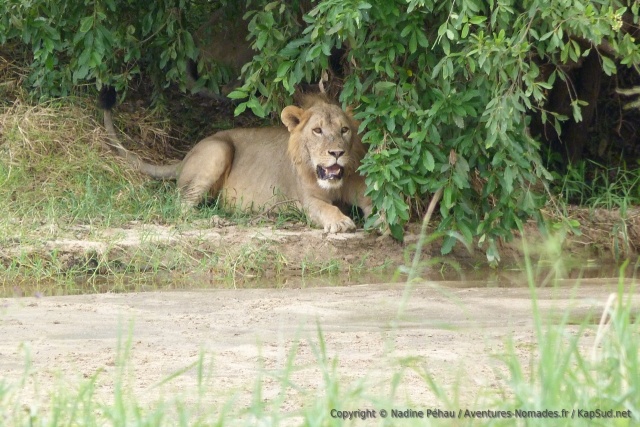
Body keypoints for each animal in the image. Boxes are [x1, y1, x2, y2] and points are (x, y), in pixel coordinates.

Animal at [98, 89, 373, 233]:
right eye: (317, 131)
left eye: (344, 130)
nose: (336, 153)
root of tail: (185, 156)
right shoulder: (306, 201)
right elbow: (325, 208)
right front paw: (340, 221)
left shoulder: (359, 186)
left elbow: (373, 201)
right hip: (218, 151)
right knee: (181, 207)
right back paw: (214, 219)